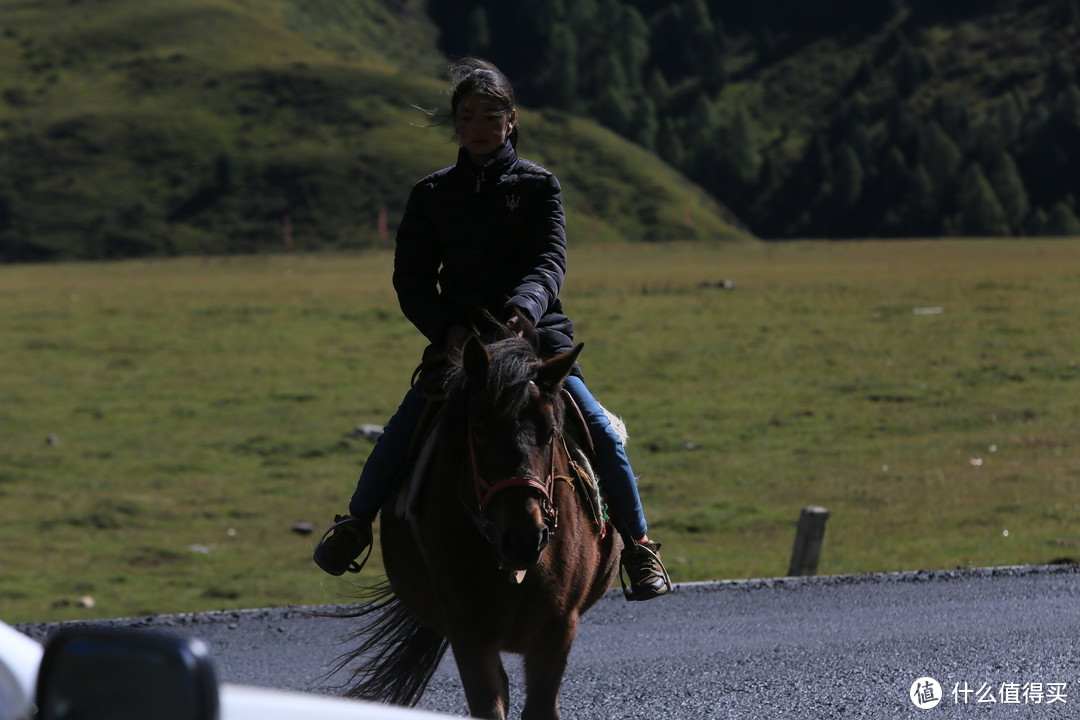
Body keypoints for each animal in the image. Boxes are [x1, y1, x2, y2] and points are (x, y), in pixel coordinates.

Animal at [336, 330, 626, 716]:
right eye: (479, 431)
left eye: (550, 432)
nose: (524, 538)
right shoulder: (469, 634)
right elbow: (489, 705)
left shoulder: (558, 628)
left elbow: (540, 707)